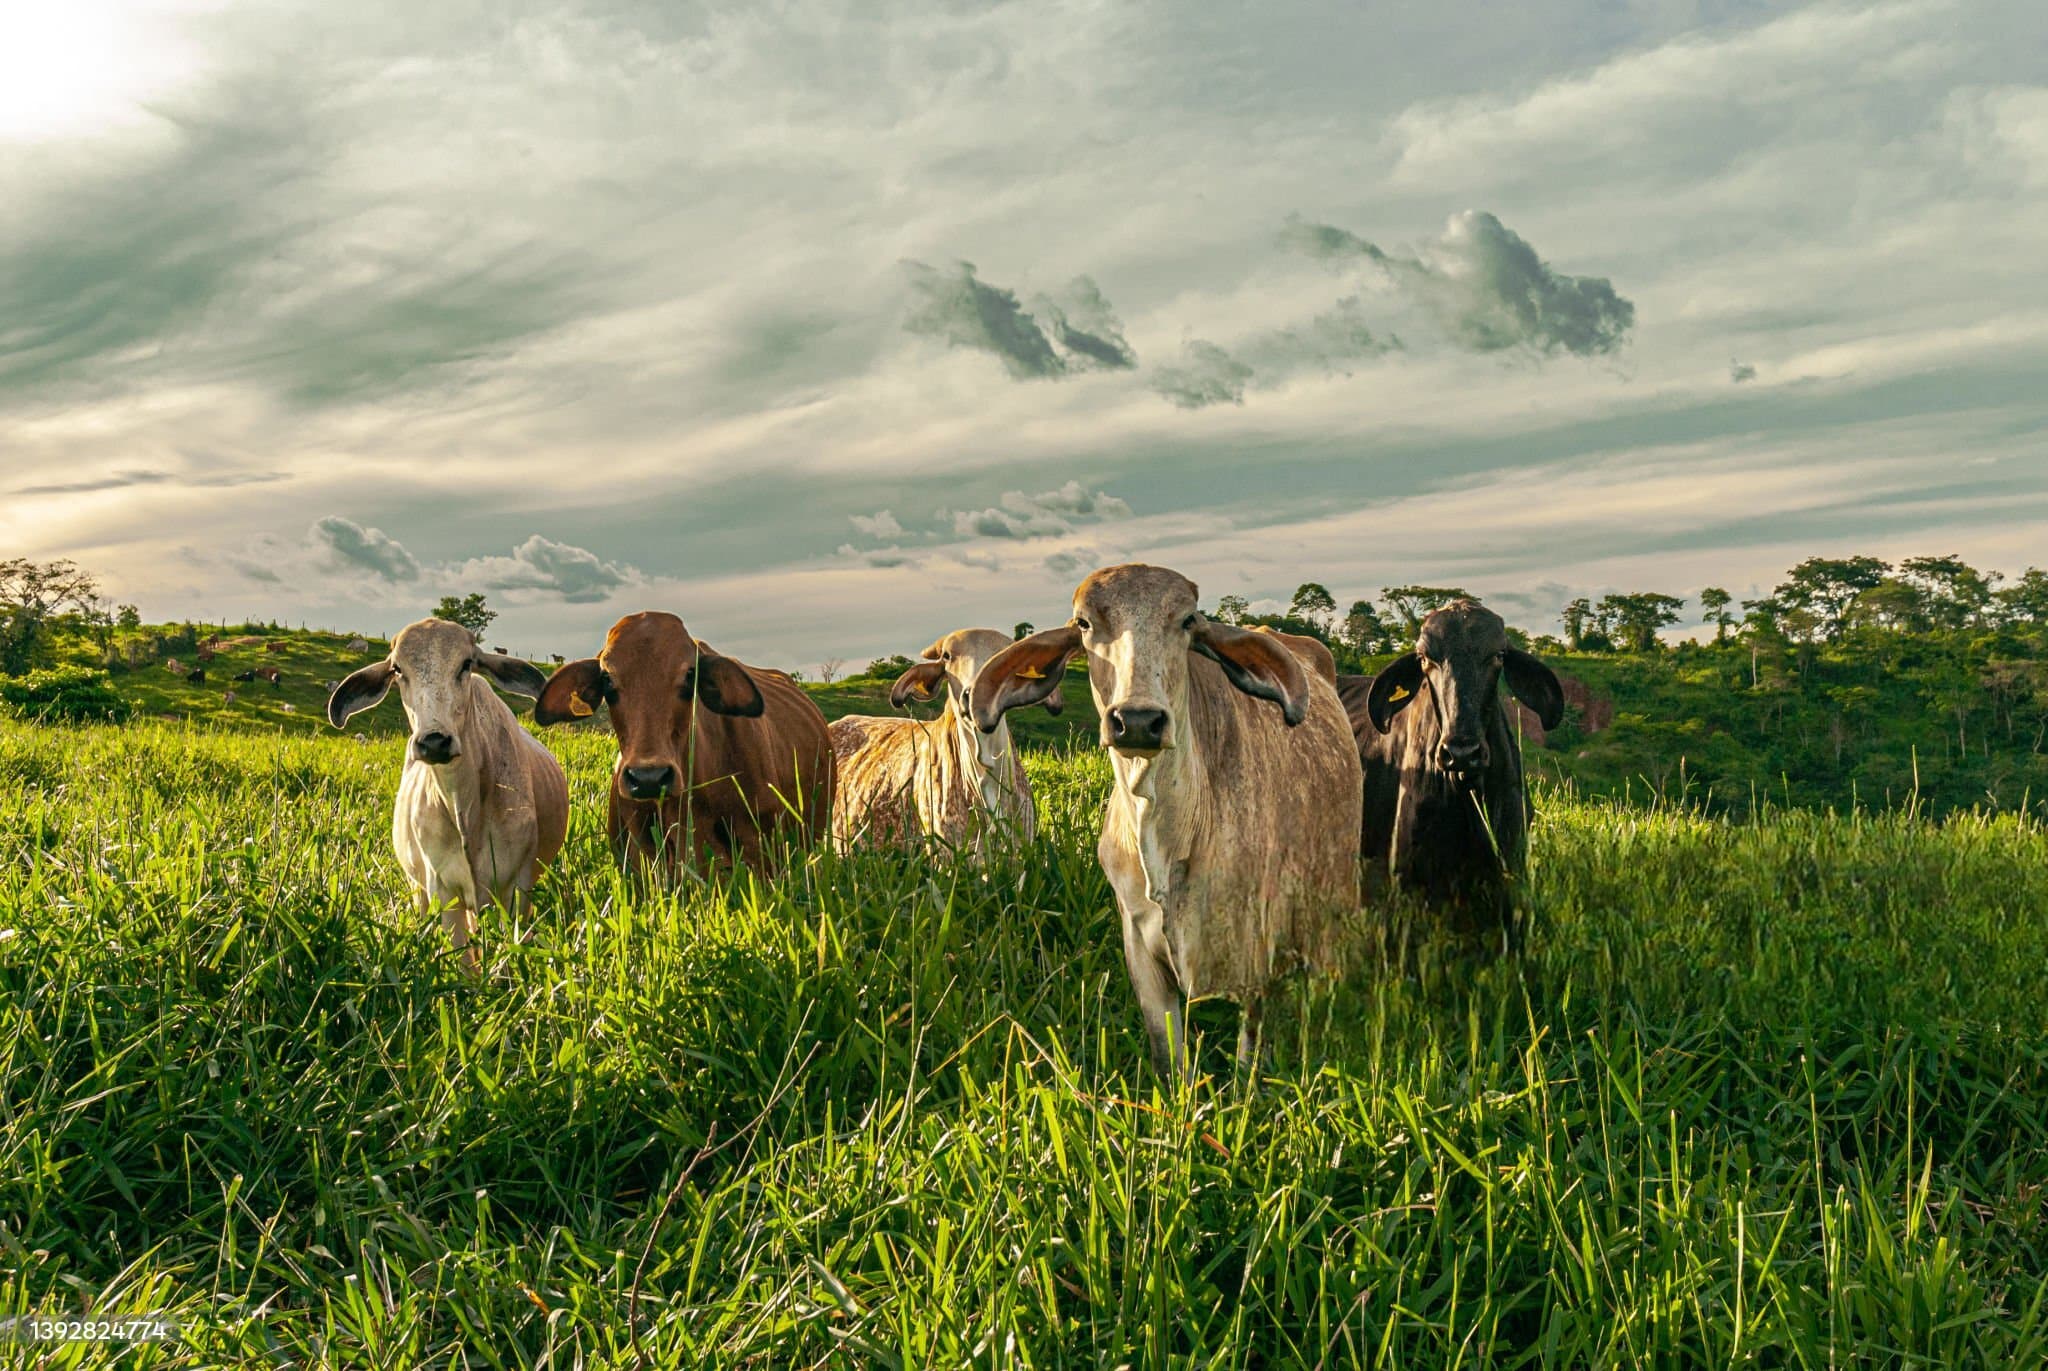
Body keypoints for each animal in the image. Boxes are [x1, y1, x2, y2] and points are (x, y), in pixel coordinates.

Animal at [327, 618, 568, 975]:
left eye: (466, 663)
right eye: (397, 669)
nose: (434, 741)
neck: (464, 811)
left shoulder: (514, 888)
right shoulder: (443, 890)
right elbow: (465, 964)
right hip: (420, 889)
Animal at [972, 565, 1363, 1079]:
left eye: (1188, 621)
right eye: (1083, 624)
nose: (1137, 720)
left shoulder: (1257, 943)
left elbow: (1249, 1054)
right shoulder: (1139, 944)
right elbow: (1168, 1055)